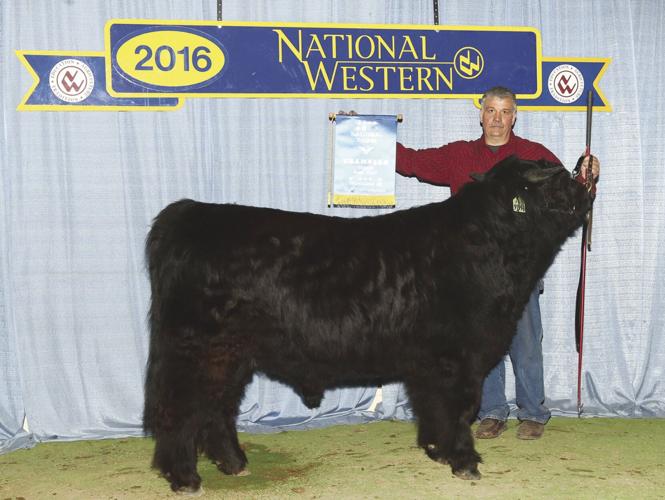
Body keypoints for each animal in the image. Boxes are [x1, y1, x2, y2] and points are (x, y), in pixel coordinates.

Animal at [143, 156, 594, 493]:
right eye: (560, 179)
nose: (587, 184)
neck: (488, 244)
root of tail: (190, 212)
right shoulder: (458, 357)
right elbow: (461, 408)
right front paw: (465, 462)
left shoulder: (431, 363)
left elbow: (434, 407)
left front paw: (437, 450)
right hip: (197, 348)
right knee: (180, 408)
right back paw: (185, 477)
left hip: (230, 354)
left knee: (217, 407)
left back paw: (235, 463)